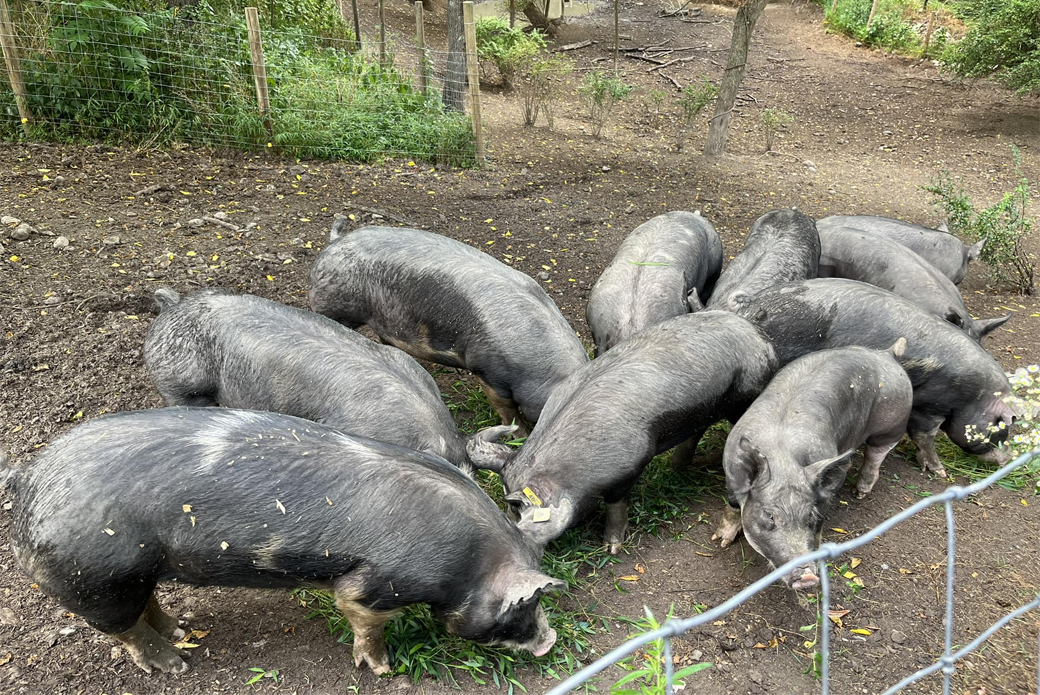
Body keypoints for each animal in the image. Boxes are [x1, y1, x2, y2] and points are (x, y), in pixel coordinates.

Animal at [2, 408, 564, 676]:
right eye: (525, 604)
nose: (550, 641)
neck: (471, 563)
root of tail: (29, 480)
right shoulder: (372, 585)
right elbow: (362, 619)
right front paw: (383, 669)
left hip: (131, 573)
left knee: (148, 606)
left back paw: (180, 629)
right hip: (95, 578)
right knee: (124, 633)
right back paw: (176, 665)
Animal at [471, 311, 778, 554]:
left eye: (517, 510)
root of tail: (761, 337)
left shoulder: (630, 464)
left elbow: (616, 506)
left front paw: (612, 548)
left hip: (745, 394)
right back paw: (676, 467)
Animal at [713, 341, 914, 590]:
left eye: (809, 515)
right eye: (769, 516)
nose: (807, 577)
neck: (783, 459)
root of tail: (888, 354)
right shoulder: (731, 476)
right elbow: (732, 506)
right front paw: (720, 541)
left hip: (893, 424)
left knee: (876, 454)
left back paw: (860, 492)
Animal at [733, 279, 1017, 477]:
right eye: (1001, 428)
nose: (1009, 459)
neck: (973, 395)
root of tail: (751, 306)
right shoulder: (931, 405)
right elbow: (925, 437)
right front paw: (940, 472)